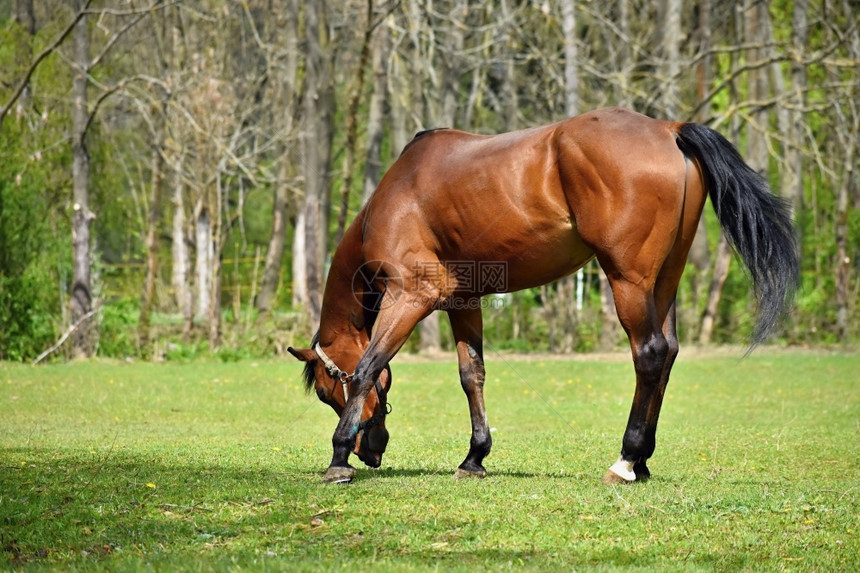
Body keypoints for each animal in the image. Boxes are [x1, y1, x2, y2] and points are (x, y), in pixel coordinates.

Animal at [288, 106, 800, 482]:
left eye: (327, 392)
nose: (369, 452)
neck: (398, 196)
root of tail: (667, 129)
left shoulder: (412, 297)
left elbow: (368, 366)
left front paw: (337, 459)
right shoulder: (463, 300)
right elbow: (471, 375)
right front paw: (474, 457)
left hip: (629, 280)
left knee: (650, 352)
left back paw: (626, 460)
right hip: (664, 280)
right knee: (669, 352)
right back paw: (644, 462)